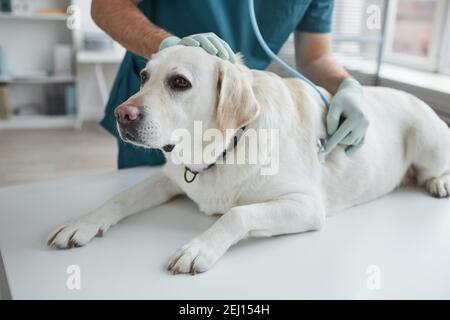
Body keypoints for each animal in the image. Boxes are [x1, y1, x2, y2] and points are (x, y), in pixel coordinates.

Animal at [48, 46, 450, 274]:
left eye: (179, 83)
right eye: (144, 76)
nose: (122, 115)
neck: (221, 149)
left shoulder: (307, 205)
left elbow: (238, 213)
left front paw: (199, 248)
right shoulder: (168, 177)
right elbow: (120, 197)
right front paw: (82, 224)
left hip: (428, 138)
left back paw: (437, 181)